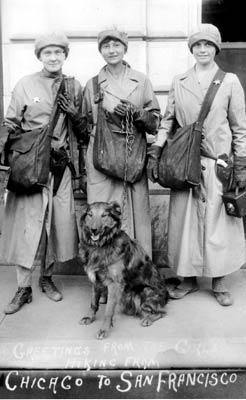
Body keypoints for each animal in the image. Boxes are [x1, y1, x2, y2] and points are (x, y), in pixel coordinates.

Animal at [79, 202, 173, 340]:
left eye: (104, 215)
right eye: (90, 215)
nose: (93, 229)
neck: (101, 245)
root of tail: (167, 294)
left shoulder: (114, 284)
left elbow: (108, 310)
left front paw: (104, 329)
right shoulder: (96, 280)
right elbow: (93, 303)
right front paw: (89, 317)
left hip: (144, 291)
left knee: (161, 312)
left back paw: (148, 319)